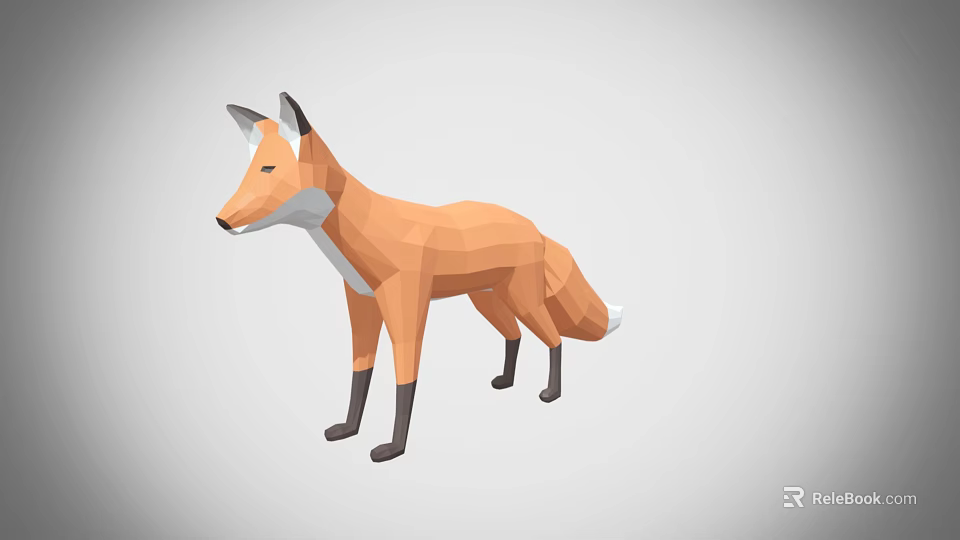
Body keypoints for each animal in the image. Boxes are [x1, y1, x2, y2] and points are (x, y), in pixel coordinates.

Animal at [216, 92, 623, 462]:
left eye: (269, 170)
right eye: (250, 172)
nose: (221, 220)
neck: (366, 233)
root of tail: (534, 226)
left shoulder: (406, 304)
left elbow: (404, 382)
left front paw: (393, 449)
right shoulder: (361, 303)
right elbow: (360, 376)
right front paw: (348, 429)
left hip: (522, 300)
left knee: (555, 339)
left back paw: (551, 393)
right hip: (488, 301)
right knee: (515, 336)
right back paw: (506, 381)